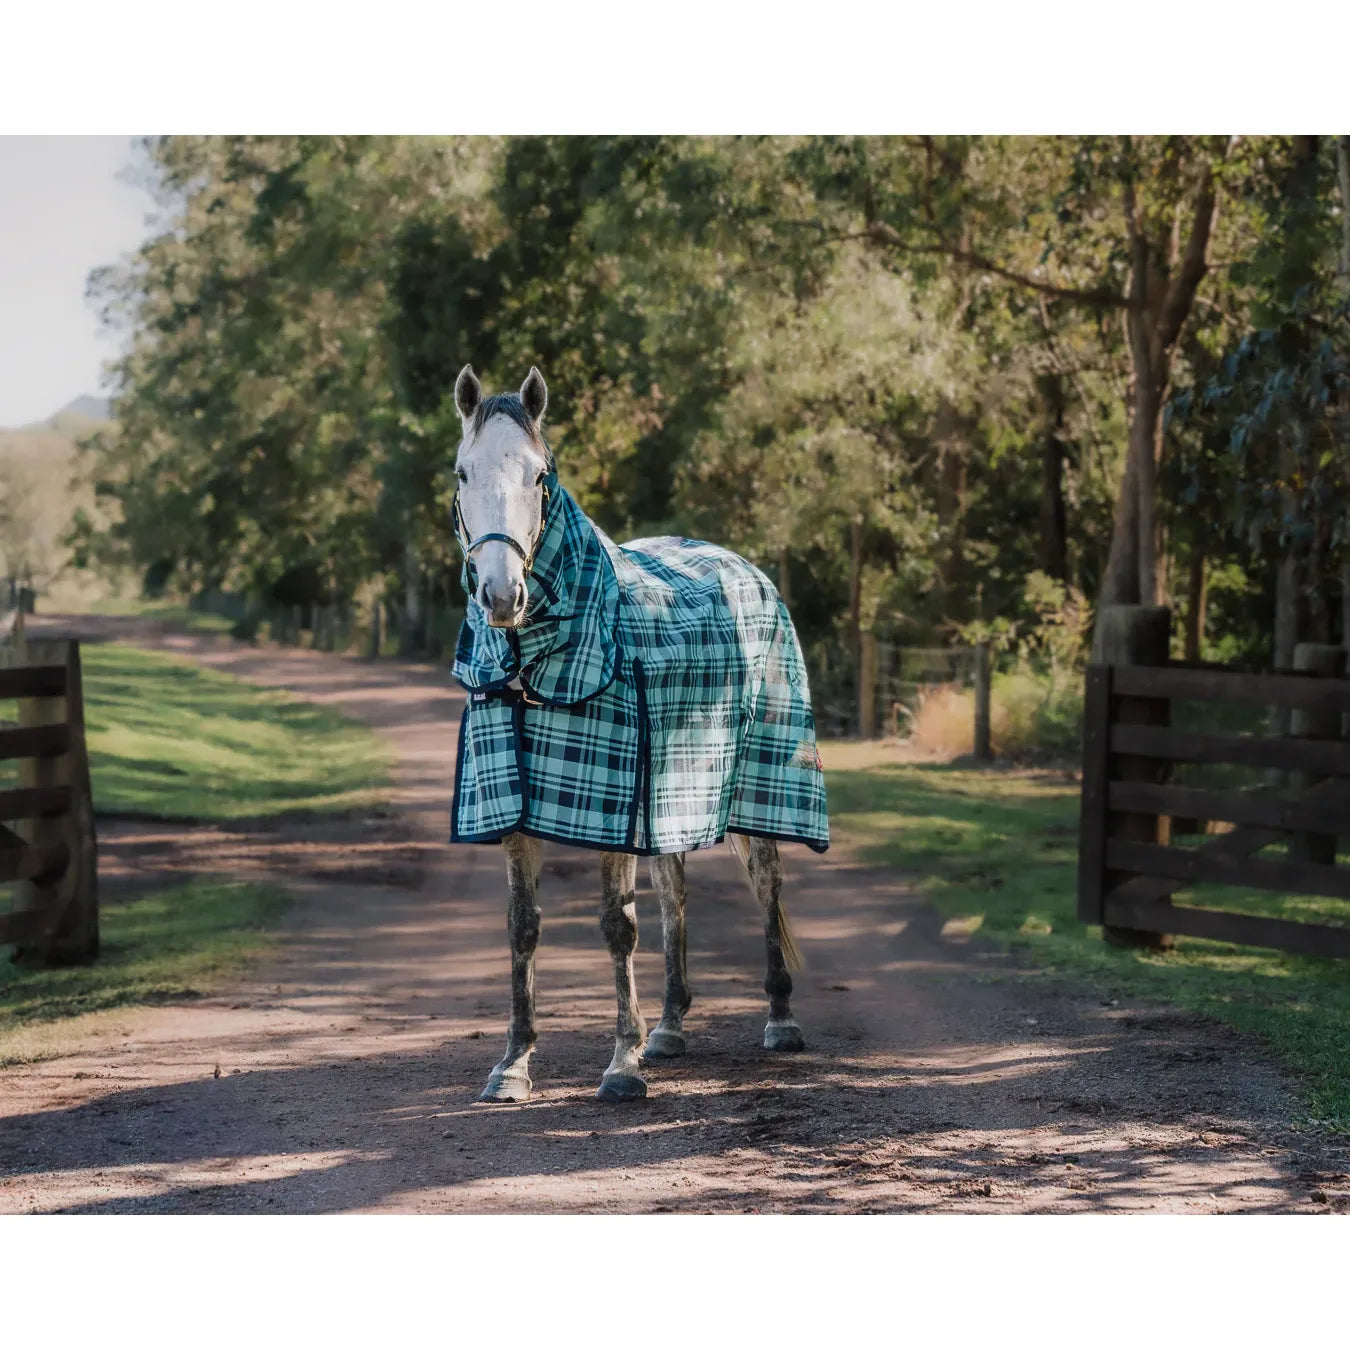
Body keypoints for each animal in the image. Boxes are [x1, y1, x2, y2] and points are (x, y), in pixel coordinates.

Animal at [449, 365, 829, 1103]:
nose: (502, 597)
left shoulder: (610, 807)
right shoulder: (518, 805)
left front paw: (621, 1065)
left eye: (539, 474)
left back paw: (780, 1019)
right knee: (674, 893)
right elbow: (522, 927)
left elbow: (616, 927)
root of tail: (745, 567)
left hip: (763, 784)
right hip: (671, 795)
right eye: (462, 472)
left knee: (766, 884)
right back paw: (670, 1028)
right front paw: (513, 1064)